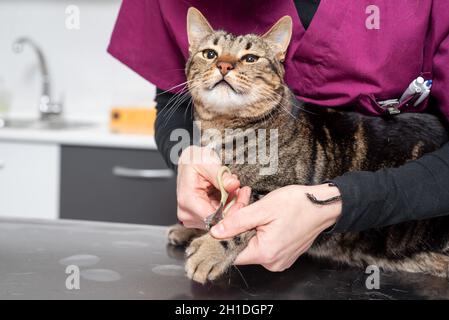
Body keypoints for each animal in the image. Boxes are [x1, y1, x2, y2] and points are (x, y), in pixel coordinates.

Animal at [167, 7, 448, 284]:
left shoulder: (274, 191)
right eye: (210, 54)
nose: (224, 65)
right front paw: (190, 229)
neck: (223, 130)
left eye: (250, 58)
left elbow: (240, 220)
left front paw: (209, 249)